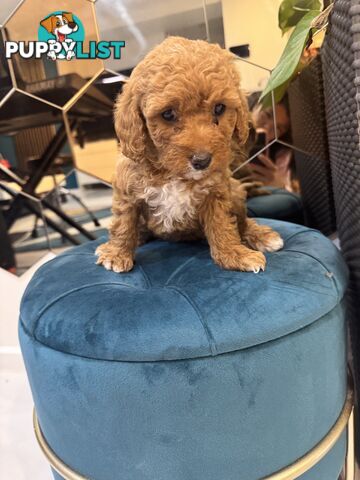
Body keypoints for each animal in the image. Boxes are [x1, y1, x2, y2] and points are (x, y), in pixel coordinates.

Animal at [96, 36, 284, 274]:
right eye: (168, 114)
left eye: (219, 108)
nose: (202, 161)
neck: (172, 172)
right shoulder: (127, 190)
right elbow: (124, 222)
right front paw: (117, 254)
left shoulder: (216, 190)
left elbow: (222, 224)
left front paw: (235, 254)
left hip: (236, 191)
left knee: (242, 222)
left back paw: (262, 236)